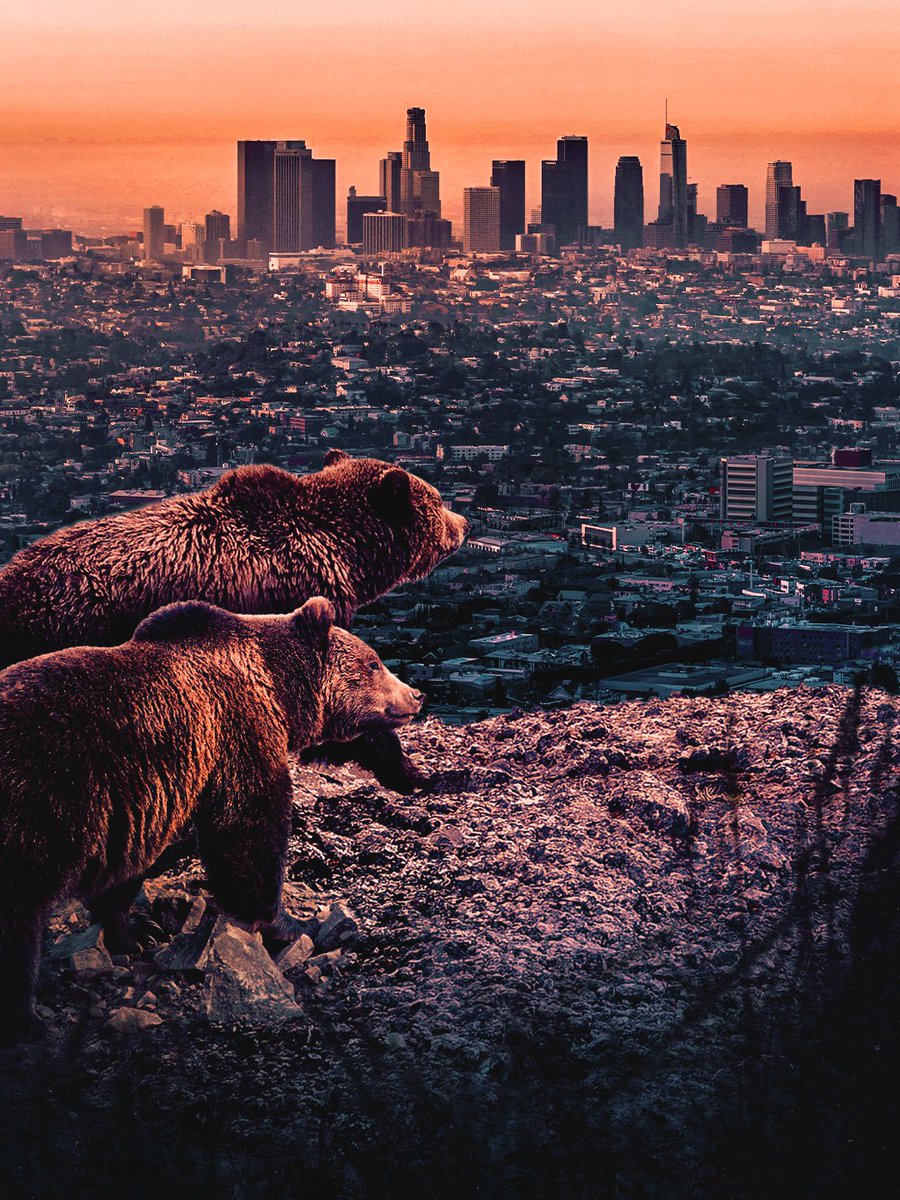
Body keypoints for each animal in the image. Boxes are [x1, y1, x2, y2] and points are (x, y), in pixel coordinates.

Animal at [0, 596, 424, 1042]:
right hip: (39, 803)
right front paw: (293, 923)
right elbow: (248, 830)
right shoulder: (237, 732)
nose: (416, 694)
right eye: (374, 662)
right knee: (18, 918)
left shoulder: (152, 799)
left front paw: (136, 933)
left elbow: (131, 868)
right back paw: (23, 1017)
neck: (280, 691)